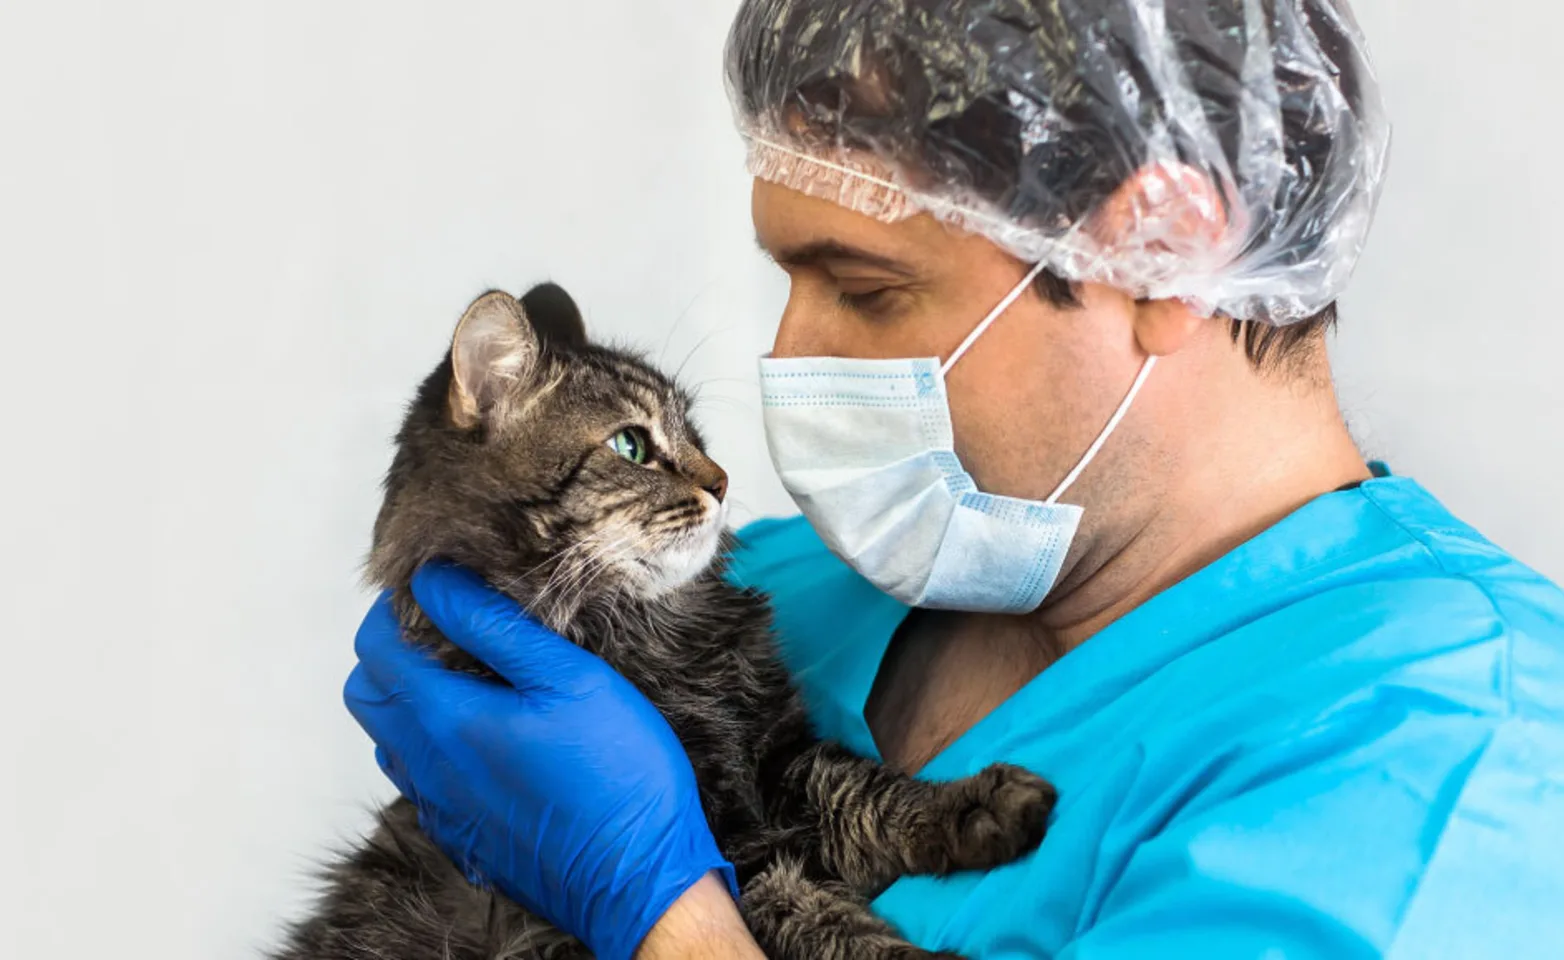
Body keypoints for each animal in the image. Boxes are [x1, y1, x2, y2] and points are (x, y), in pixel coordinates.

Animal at [278, 286, 1063, 960]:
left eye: (696, 433)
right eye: (630, 446)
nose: (721, 481)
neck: (658, 635)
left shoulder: (778, 762)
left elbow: (873, 795)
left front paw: (978, 804)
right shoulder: (728, 851)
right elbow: (817, 917)